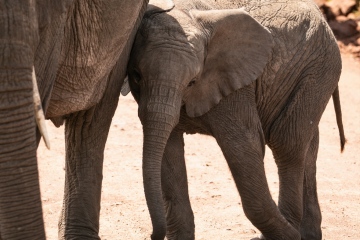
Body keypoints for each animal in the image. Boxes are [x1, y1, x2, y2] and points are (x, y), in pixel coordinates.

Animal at [126, 0, 346, 240]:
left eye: (192, 82)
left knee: (287, 143)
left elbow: (245, 146)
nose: (151, 235)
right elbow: (168, 151)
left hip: (317, 69)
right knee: (308, 147)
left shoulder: (236, 88)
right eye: (136, 75)